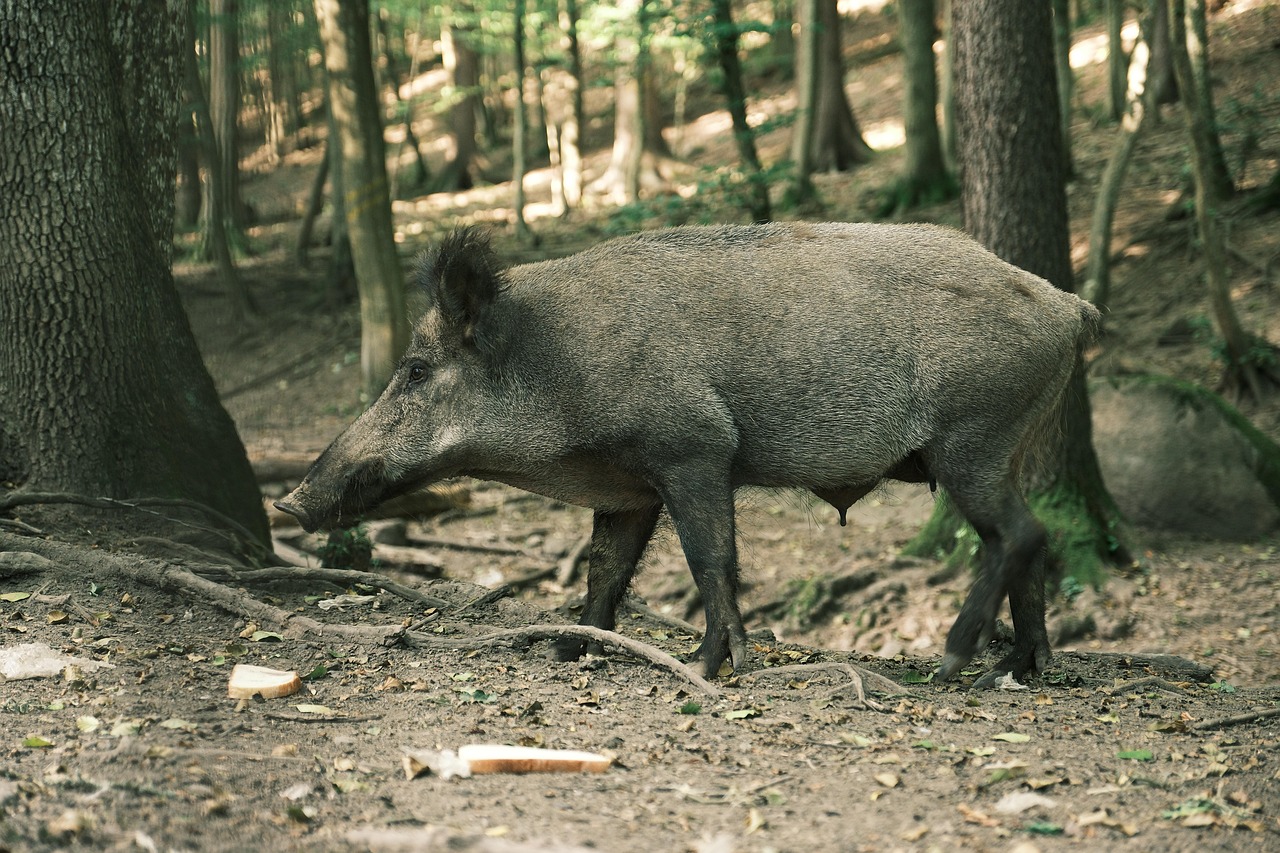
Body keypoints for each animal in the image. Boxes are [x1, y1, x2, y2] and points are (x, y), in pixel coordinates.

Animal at [276, 222, 1102, 684]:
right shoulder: (627, 489)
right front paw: (569, 653)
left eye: (416, 370)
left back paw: (954, 662)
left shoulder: (694, 447)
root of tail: (1067, 305)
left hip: (974, 434)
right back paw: (1021, 670)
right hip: (1009, 441)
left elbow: (711, 558)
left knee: (1018, 534)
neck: (557, 370)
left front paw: (712, 667)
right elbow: (604, 571)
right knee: (1030, 541)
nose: (290, 497)